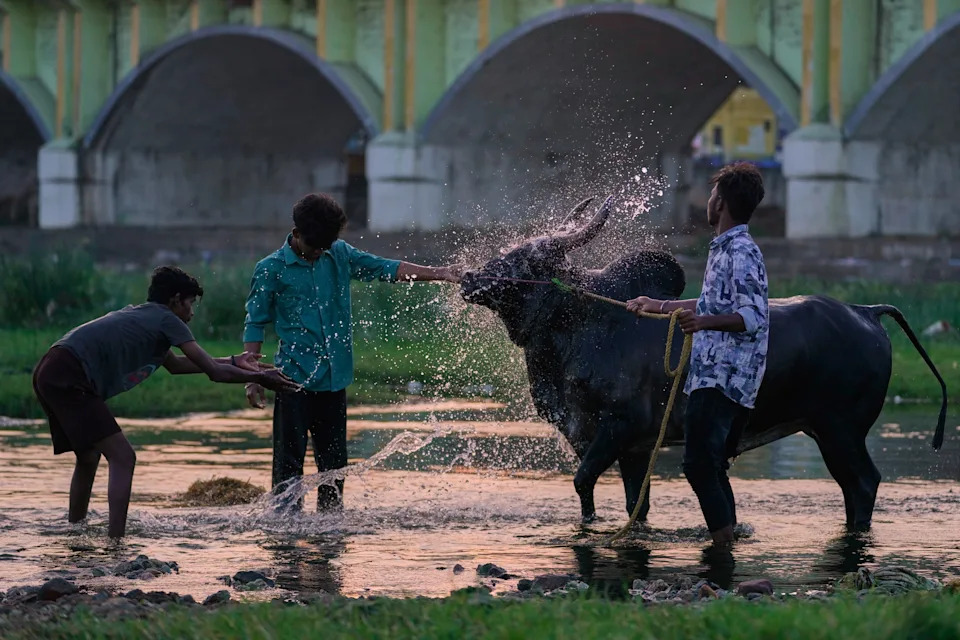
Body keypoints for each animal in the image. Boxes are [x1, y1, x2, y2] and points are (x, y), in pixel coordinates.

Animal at [459, 196, 948, 530]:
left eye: (527, 259)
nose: (468, 278)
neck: (582, 322)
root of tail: (867, 311)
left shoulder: (618, 427)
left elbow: (582, 483)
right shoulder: (630, 446)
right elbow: (633, 504)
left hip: (840, 431)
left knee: (863, 483)